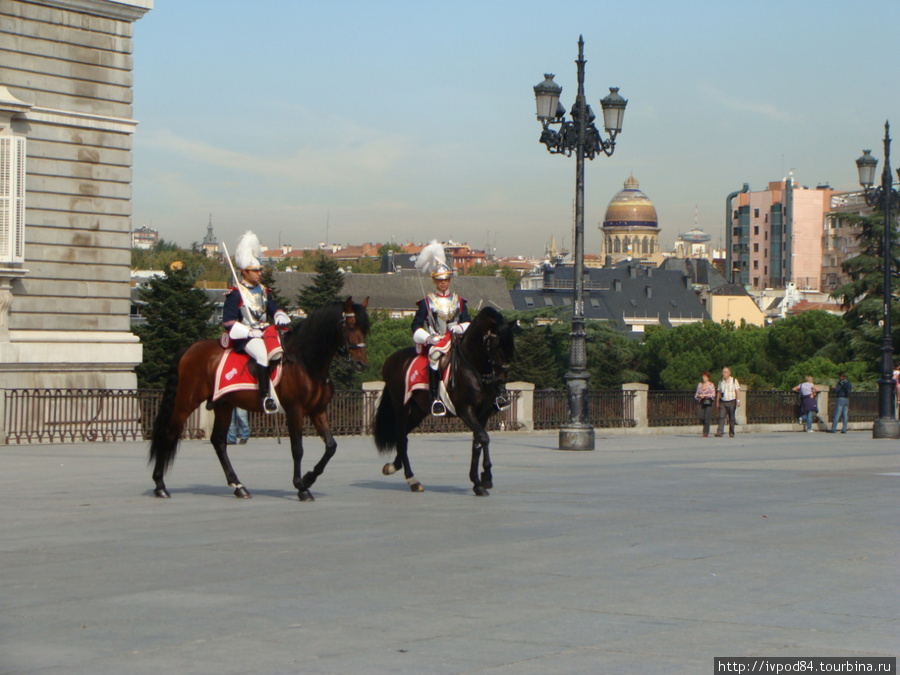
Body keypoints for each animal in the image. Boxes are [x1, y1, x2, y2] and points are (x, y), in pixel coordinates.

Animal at [149, 298, 368, 502]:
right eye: (350, 326)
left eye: (365, 328)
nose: (361, 363)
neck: (306, 361)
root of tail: (190, 348)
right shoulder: (295, 410)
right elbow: (297, 449)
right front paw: (301, 486)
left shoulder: (317, 410)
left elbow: (331, 447)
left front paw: (308, 478)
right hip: (187, 399)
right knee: (169, 432)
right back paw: (160, 485)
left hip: (224, 404)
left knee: (218, 441)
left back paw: (238, 486)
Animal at [372, 308, 512, 496]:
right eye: (494, 344)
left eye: (510, 345)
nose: (502, 378)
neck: (473, 366)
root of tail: (390, 361)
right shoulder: (465, 410)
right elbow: (484, 438)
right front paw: (486, 477)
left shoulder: (482, 414)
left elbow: (477, 442)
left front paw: (478, 481)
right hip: (401, 406)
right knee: (401, 437)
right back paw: (412, 480)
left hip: (418, 411)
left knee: (402, 437)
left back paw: (394, 466)